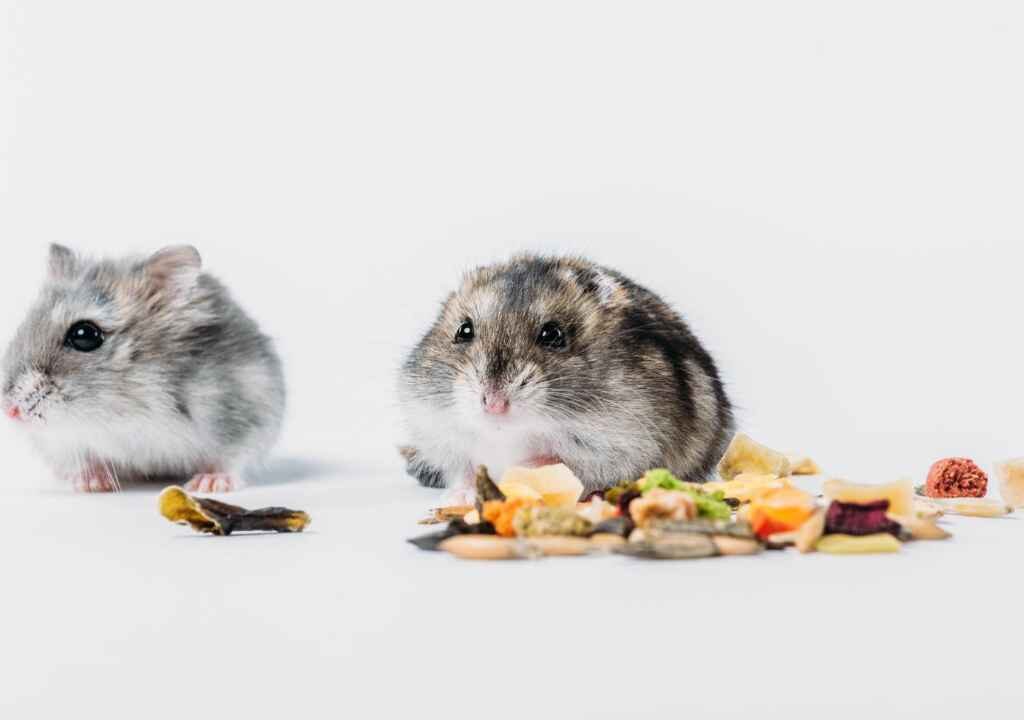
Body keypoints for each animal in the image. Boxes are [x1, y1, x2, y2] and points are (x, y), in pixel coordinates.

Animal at [1, 244, 286, 493]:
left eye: (84, 335)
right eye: (25, 325)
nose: (9, 411)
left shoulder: (245, 414)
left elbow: (232, 458)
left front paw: (209, 484)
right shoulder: (58, 442)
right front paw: (92, 483)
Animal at [398, 255, 735, 503]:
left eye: (553, 335)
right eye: (463, 330)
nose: (494, 405)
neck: (508, 433)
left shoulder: (620, 446)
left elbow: (556, 459)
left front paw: (516, 470)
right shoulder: (439, 432)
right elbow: (464, 469)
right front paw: (462, 498)